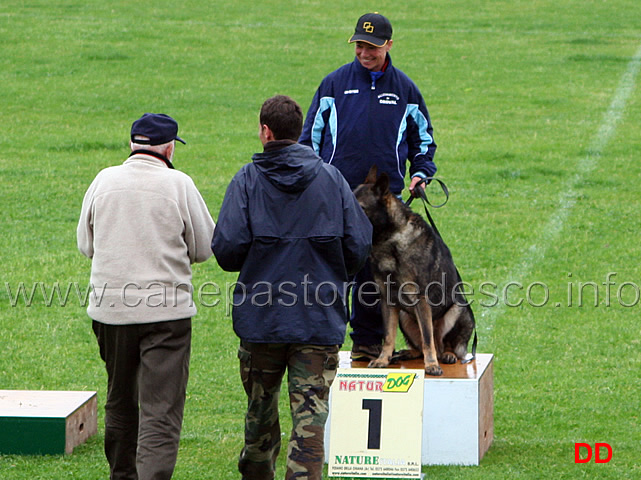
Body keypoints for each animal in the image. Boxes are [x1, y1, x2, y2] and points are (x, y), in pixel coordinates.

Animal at [350, 167, 476, 376]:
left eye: (360, 207)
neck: (391, 239)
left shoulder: (421, 300)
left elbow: (427, 338)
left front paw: (431, 365)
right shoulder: (388, 300)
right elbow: (389, 336)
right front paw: (383, 359)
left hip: (458, 308)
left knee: (445, 345)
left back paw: (446, 355)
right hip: (404, 315)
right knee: (420, 347)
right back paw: (405, 354)